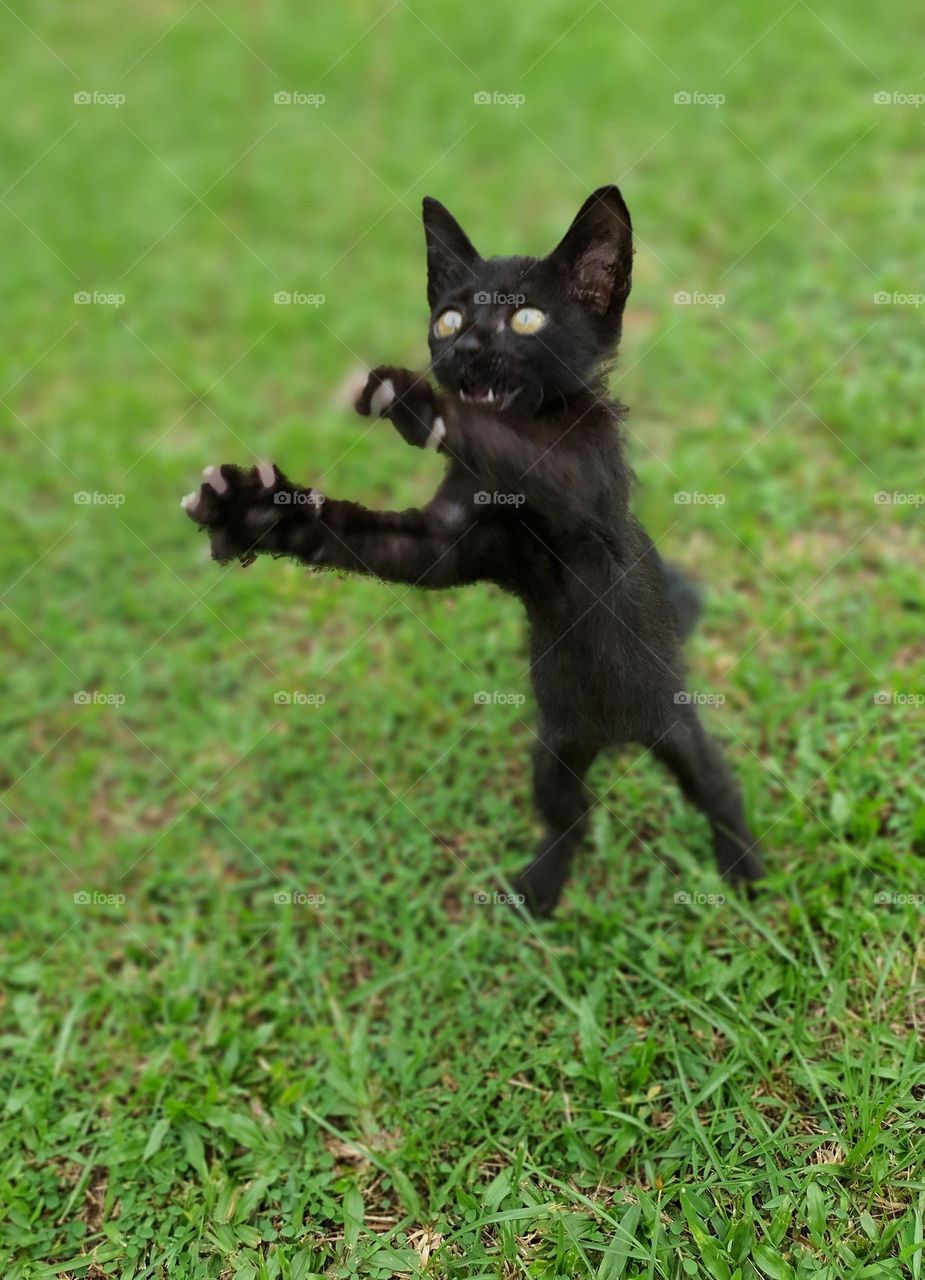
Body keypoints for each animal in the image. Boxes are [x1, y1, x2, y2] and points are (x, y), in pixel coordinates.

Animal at [182, 185, 767, 916]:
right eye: (449, 317)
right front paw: (253, 510)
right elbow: (362, 534)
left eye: (526, 319)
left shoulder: (585, 482)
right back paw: (542, 888)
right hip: (556, 752)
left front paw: (415, 402)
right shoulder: (444, 545)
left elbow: (523, 450)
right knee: (569, 814)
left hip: (675, 730)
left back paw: (744, 868)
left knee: (715, 789)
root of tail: (616, 740)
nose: (461, 348)